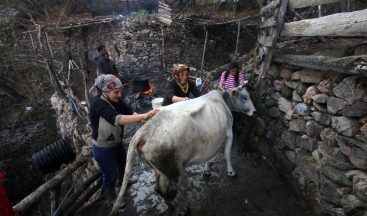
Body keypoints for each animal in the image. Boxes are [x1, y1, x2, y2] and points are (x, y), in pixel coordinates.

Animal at [110, 84, 258, 214]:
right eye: (245, 97)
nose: (255, 112)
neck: (223, 101)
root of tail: (146, 128)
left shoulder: (213, 139)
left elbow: (210, 156)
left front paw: (206, 170)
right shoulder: (228, 132)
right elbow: (227, 154)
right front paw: (231, 172)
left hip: (160, 168)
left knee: (158, 189)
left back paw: (172, 205)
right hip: (176, 170)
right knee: (175, 190)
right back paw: (184, 208)